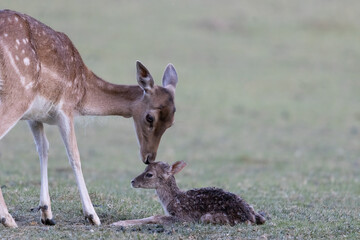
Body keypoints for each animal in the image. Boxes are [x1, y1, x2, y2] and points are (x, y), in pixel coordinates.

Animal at [0, 9, 179, 227]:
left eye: (171, 123)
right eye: (149, 118)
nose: (148, 157)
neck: (83, 91)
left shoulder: (35, 116)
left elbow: (43, 149)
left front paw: (47, 214)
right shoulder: (65, 108)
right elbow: (74, 156)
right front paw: (92, 215)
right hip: (17, 95)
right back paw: (7, 218)